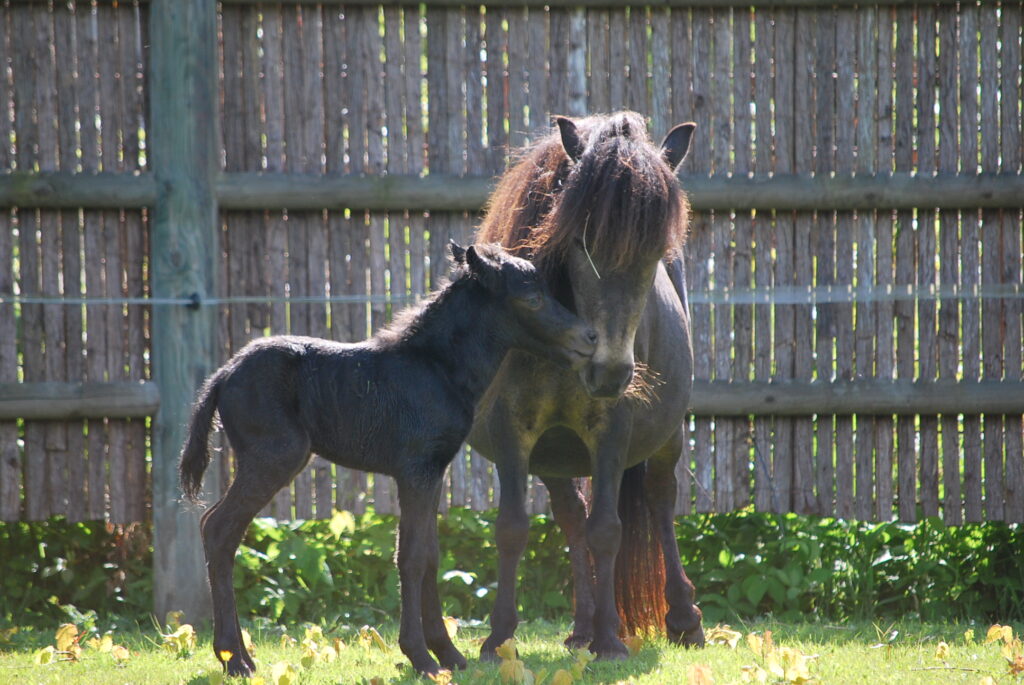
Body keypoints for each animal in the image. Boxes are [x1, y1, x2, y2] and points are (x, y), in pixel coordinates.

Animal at [179, 242, 598, 675]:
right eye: (531, 299)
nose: (590, 337)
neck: (437, 368)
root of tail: (222, 375)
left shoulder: (434, 472)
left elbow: (430, 555)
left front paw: (449, 654)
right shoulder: (415, 470)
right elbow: (410, 556)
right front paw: (420, 657)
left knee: (219, 528)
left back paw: (241, 656)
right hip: (274, 458)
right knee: (219, 528)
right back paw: (233, 659)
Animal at [471, 111, 704, 655]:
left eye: (655, 252)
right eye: (581, 241)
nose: (611, 371)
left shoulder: (612, 433)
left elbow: (607, 531)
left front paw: (611, 640)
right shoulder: (513, 430)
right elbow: (513, 528)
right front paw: (499, 638)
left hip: (666, 434)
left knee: (660, 500)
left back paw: (682, 619)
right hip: (555, 454)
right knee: (570, 515)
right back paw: (582, 626)